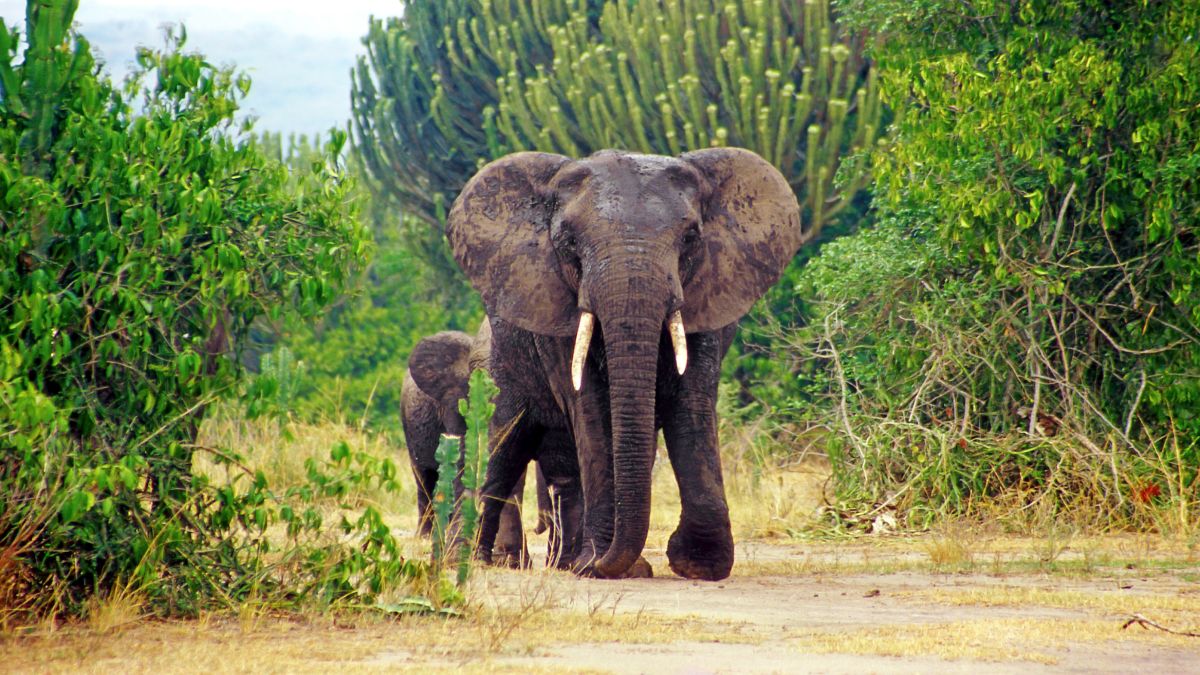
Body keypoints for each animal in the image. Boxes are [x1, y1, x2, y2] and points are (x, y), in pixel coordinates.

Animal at [446, 147, 801, 578]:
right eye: (569, 242)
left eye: (690, 238)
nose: (605, 561)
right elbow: (593, 412)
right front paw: (598, 564)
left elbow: (691, 403)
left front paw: (698, 564)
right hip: (496, 365)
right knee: (501, 449)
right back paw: (476, 560)